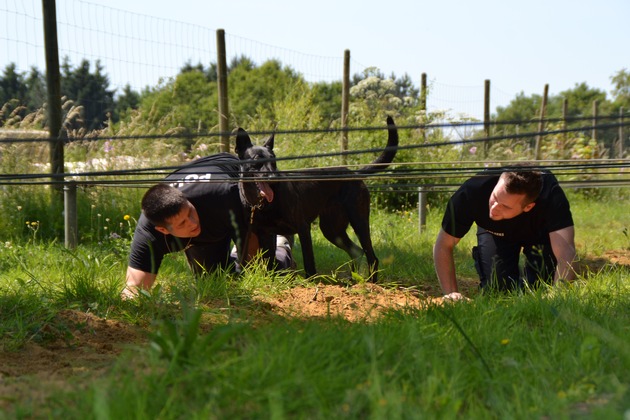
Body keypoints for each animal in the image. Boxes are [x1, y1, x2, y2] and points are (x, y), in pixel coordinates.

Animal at [235, 116, 398, 282]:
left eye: (274, 161)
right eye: (257, 160)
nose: (275, 179)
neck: (263, 204)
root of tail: (354, 174)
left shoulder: (303, 228)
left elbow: (309, 263)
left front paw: (310, 283)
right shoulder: (265, 234)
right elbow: (269, 263)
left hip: (358, 221)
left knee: (372, 257)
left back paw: (371, 283)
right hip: (332, 230)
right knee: (356, 251)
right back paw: (354, 280)